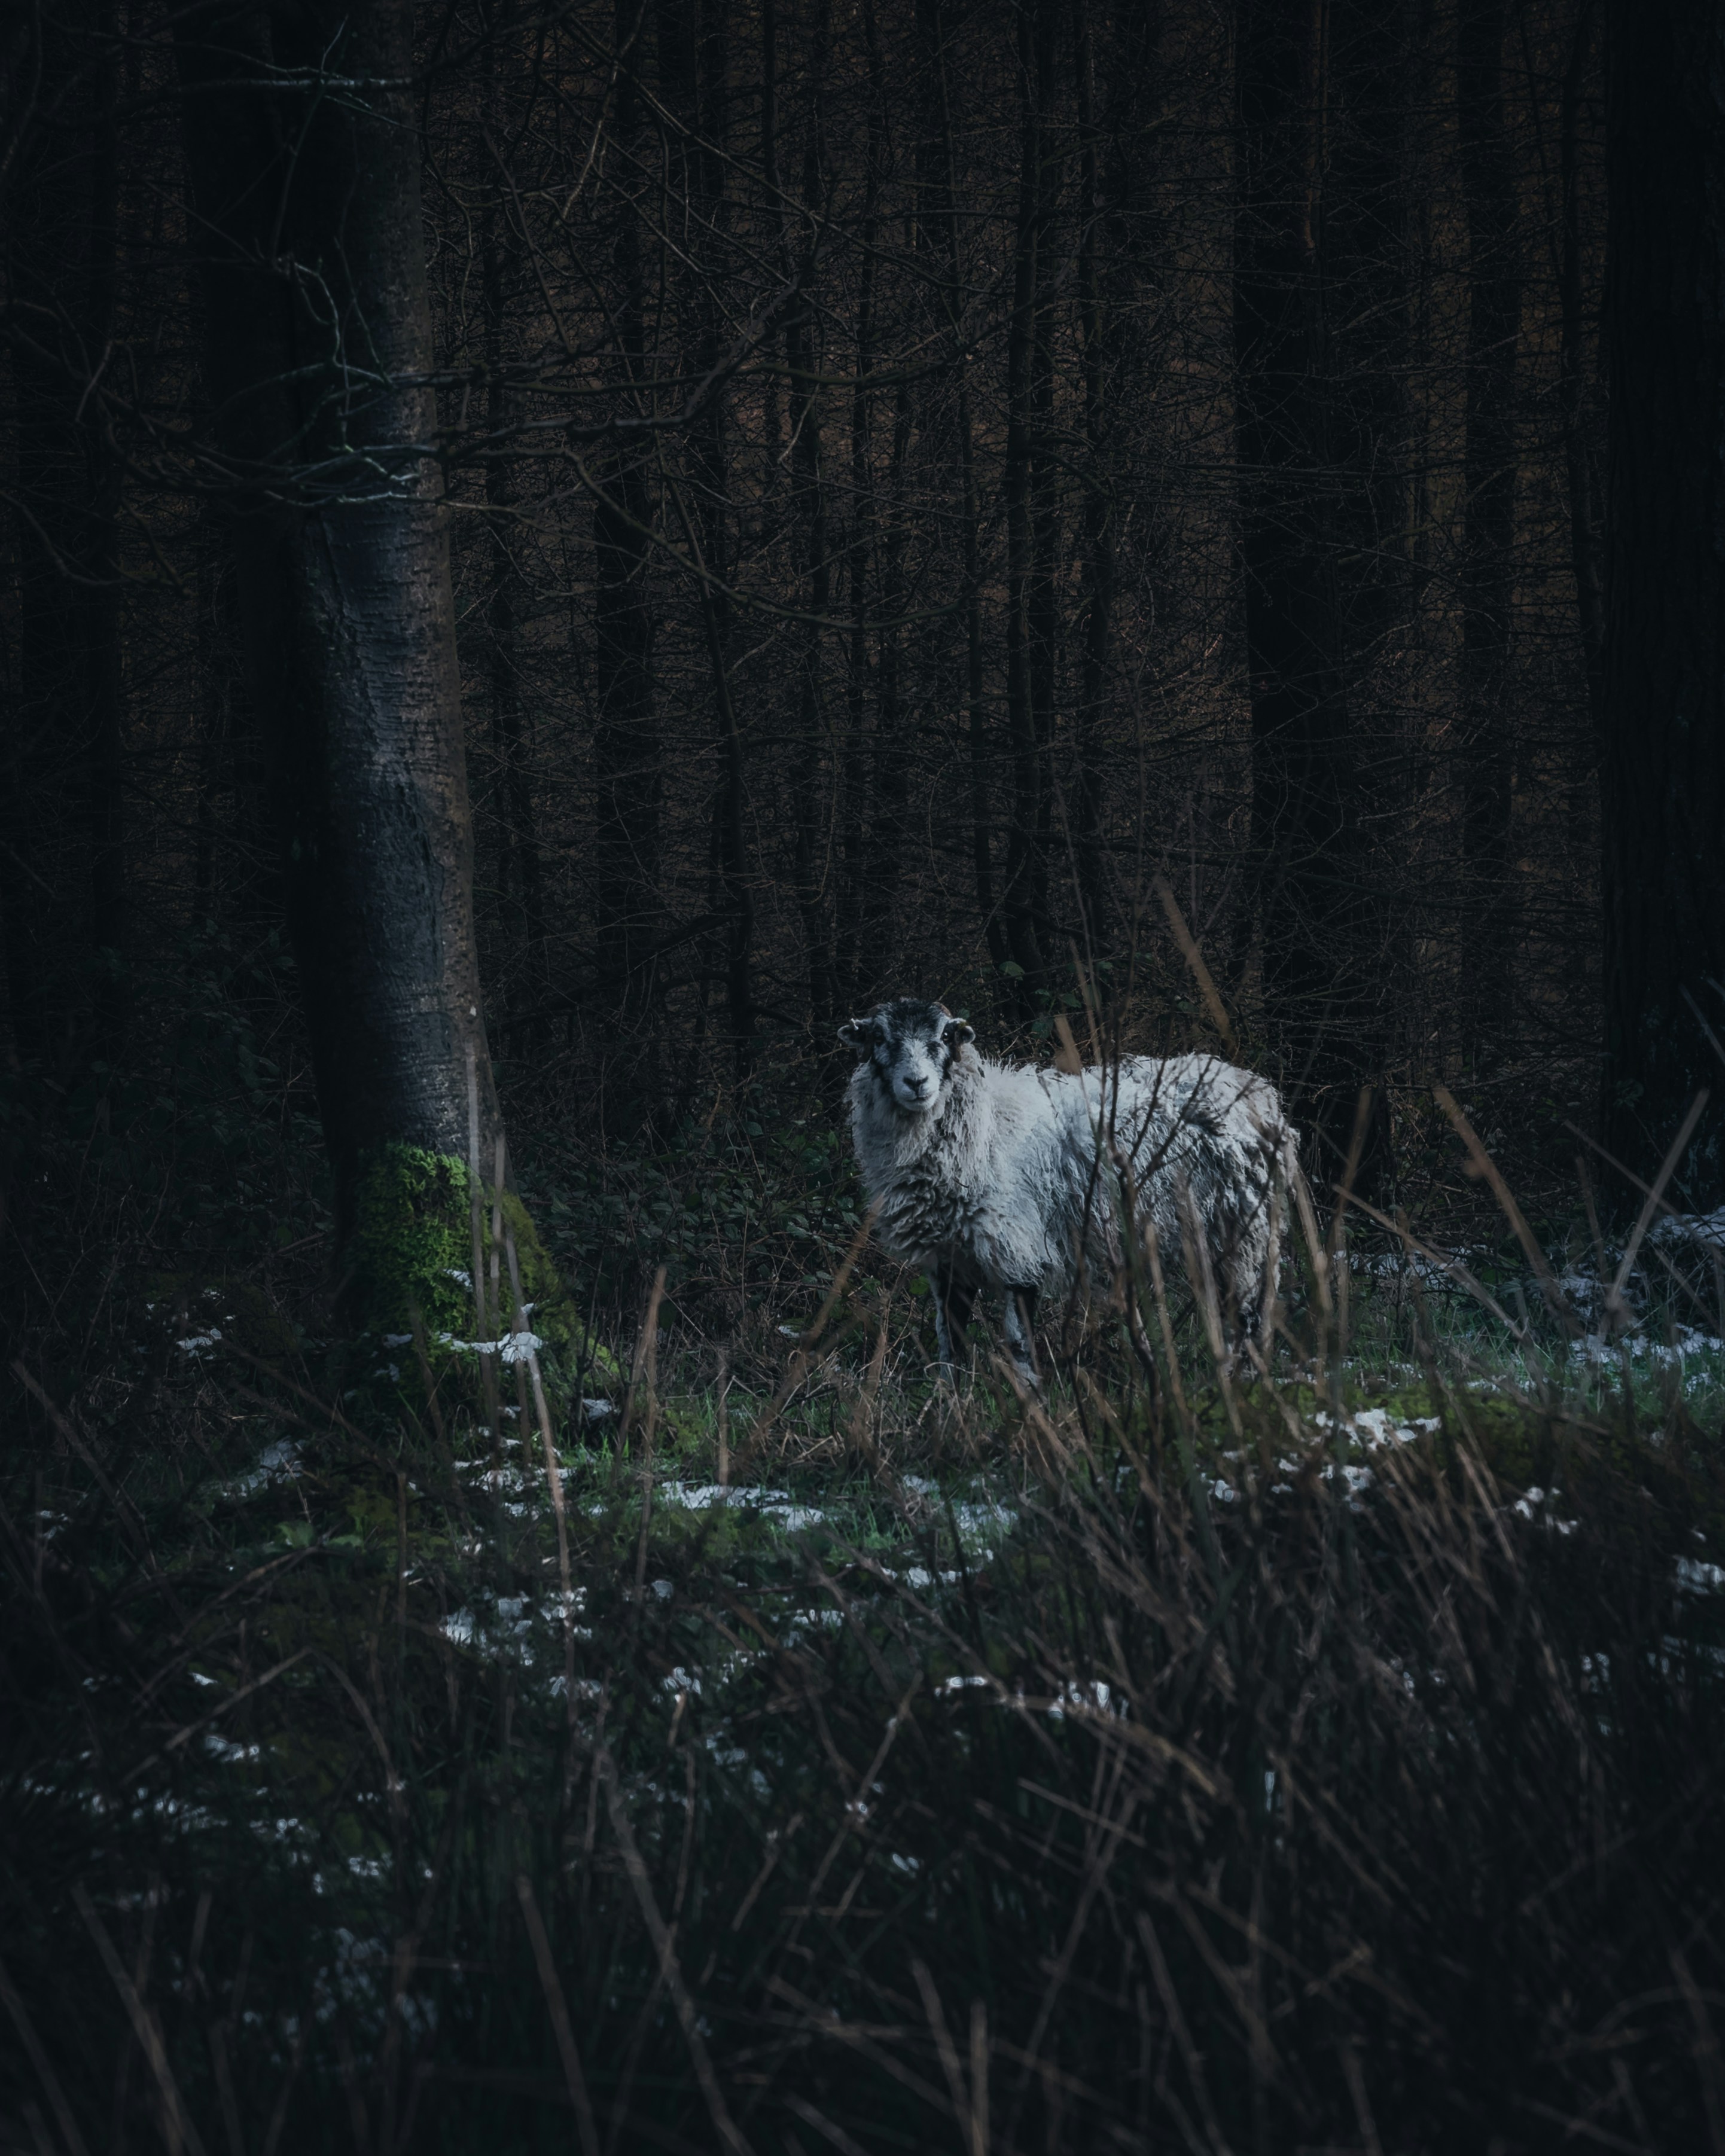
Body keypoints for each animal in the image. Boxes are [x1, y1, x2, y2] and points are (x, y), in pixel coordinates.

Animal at [838, 996, 1298, 1384]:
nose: (917, 1083)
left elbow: (1021, 1349)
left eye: (945, 1037)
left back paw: (1240, 1388)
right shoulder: (948, 1261)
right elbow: (949, 1343)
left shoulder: (1017, 1250)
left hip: (1243, 1230)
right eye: (879, 1038)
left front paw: (1031, 1412)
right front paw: (949, 1406)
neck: (985, 1131)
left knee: (1247, 1320)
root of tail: (1257, 1092)